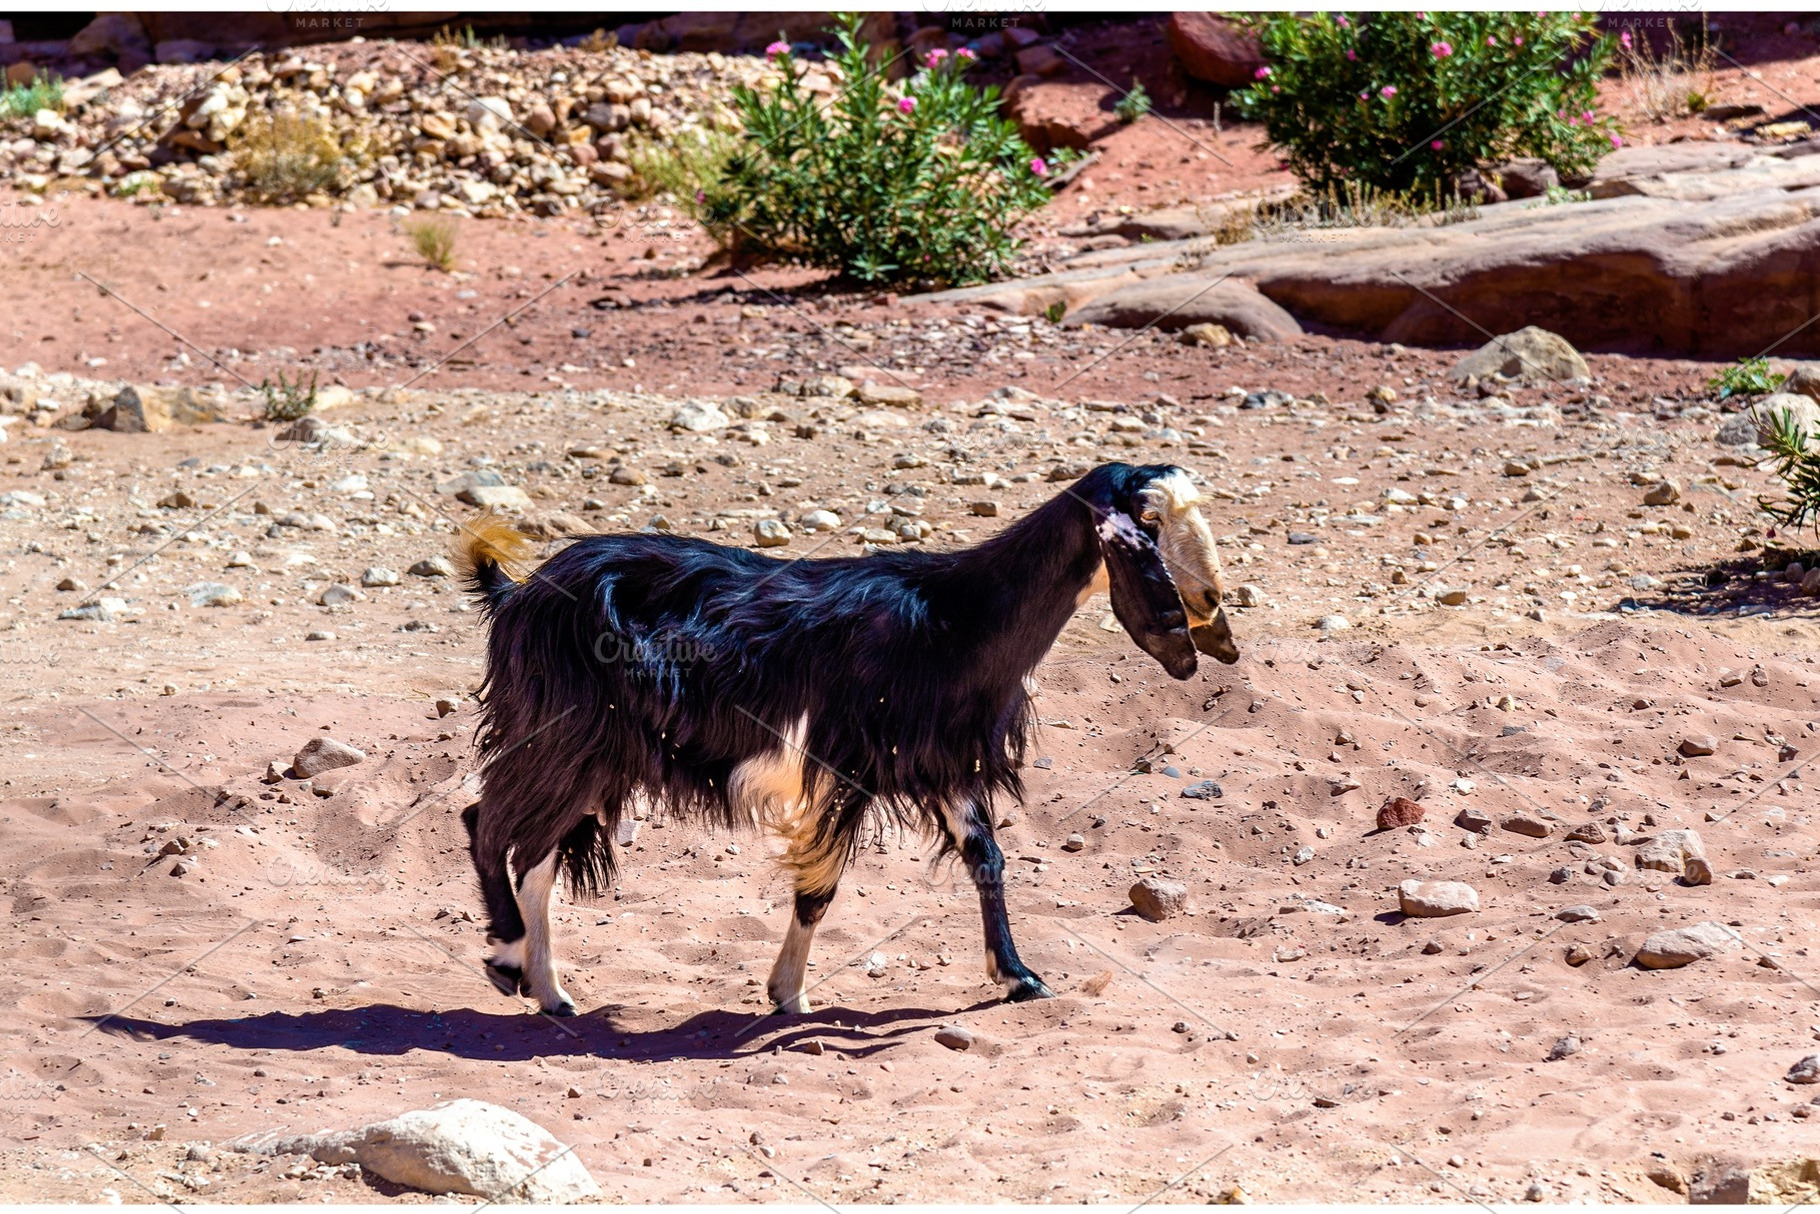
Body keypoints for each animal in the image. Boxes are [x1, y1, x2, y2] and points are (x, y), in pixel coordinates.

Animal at [455, 461, 1238, 1016]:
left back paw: (549, 990)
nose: (1210, 601)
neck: (960, 616)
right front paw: (790, 995)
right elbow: (820, 888)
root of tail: (517, 592)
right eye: (1148, 519)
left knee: (534, 852)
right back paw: (508, 958)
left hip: (591, 754)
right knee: (487, 823)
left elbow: (987, 858)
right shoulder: (852, 761)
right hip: (567, 734)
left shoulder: (939, 759)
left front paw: (1018, 976)